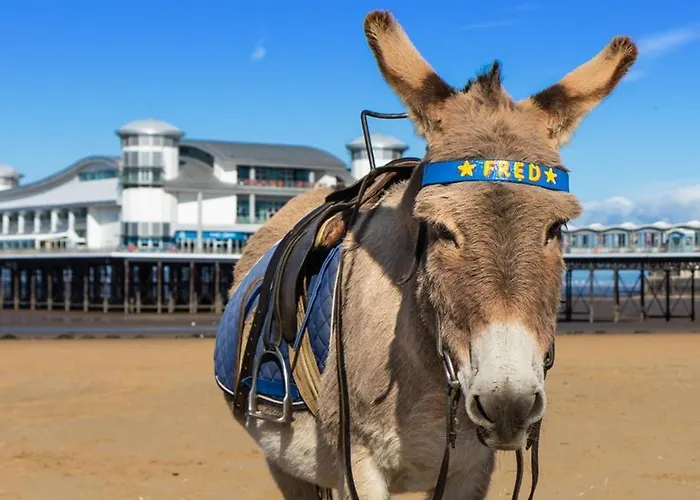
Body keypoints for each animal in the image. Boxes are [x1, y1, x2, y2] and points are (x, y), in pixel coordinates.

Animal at [214, 9, 638, 499]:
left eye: (557, 228)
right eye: (439, 229)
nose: (508, 404)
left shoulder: (472, 469)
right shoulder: (356, 466)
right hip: (285, 464)